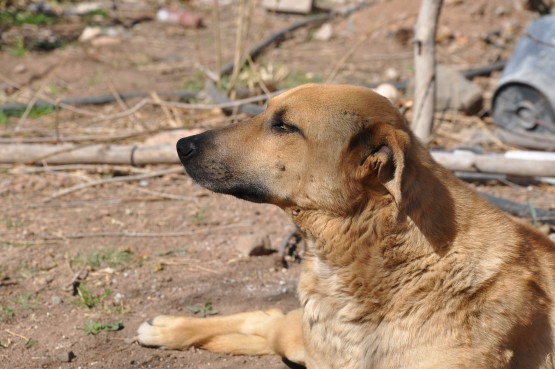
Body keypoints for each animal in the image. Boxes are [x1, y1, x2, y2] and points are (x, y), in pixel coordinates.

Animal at [137, 84, 555, 368]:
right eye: (266, 111)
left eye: (284, 126)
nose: (182, 145)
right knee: (268, 321)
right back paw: (170, 328)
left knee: (269, 323)